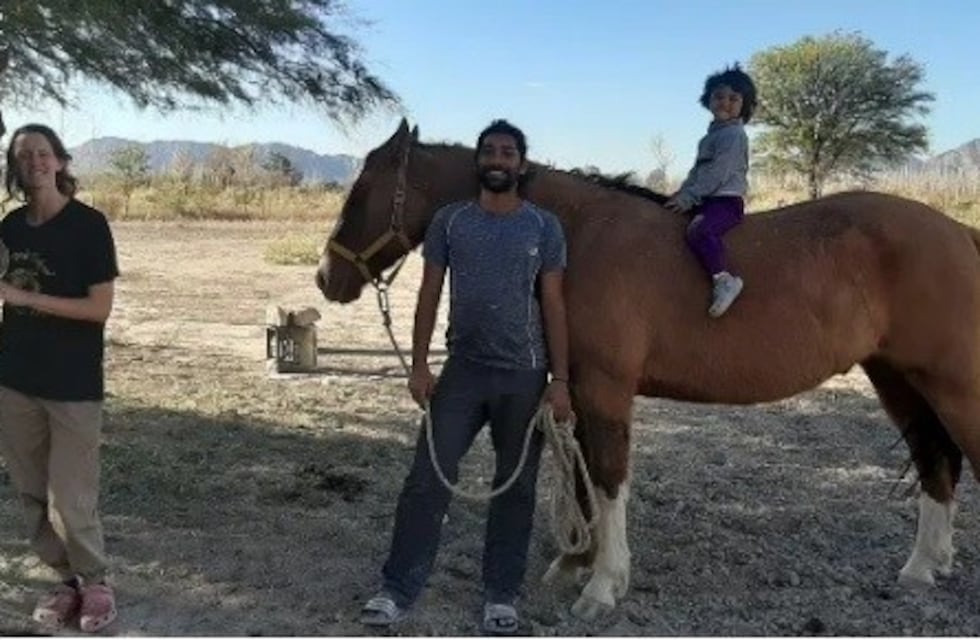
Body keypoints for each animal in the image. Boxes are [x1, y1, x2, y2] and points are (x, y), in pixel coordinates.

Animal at [316, 118, 980, 620]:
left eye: (359, 193)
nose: (327, 278)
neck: (575, 237)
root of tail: (958, 232)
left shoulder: (606, 389)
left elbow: (609, 479)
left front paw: (603, 584)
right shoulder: (574, 390)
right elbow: (583, 474)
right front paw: (575, 562)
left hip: (951, 385)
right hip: (896, 378)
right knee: (934, 460)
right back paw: (922, 567)